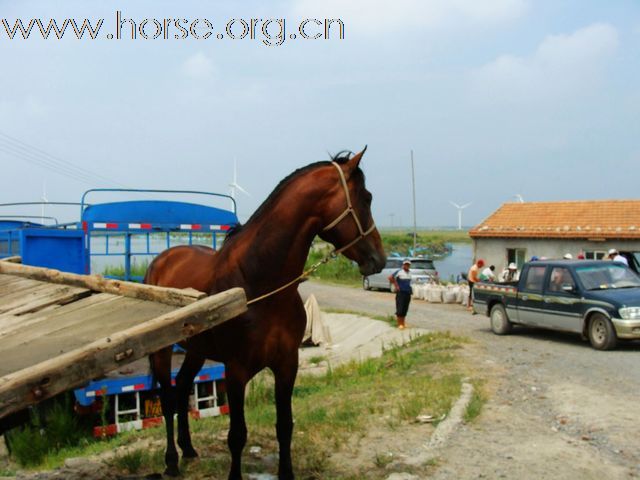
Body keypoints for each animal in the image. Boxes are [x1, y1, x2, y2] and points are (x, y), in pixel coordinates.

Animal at [145, 148, 384, 478]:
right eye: (367, 198)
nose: (380, 259)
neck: (258, 284)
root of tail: (162, 259)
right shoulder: (236, 371)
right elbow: (237, 435)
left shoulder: (287, 364)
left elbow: (285, 426)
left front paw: (287, 473)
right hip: (163, 350)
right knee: (168, 399)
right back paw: (171, 461)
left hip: (196, 350)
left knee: (181, 388)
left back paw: (189, 449)